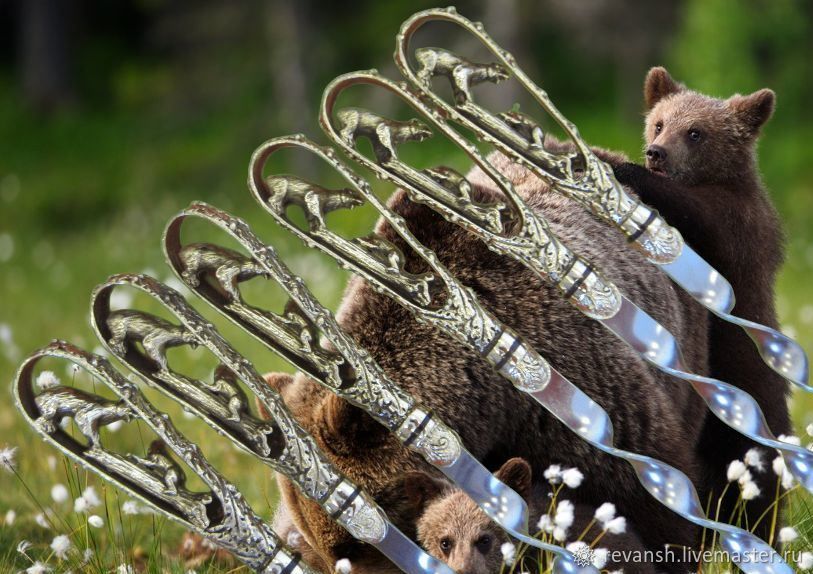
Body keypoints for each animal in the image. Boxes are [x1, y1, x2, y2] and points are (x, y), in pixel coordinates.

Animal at [612, 65, 788, 544]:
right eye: (659, 123)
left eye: (696, 132)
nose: (655, 153)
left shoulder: (735, 231)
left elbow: (701, 214)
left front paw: (620, 166)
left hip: (748, 404)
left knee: (757, 477)